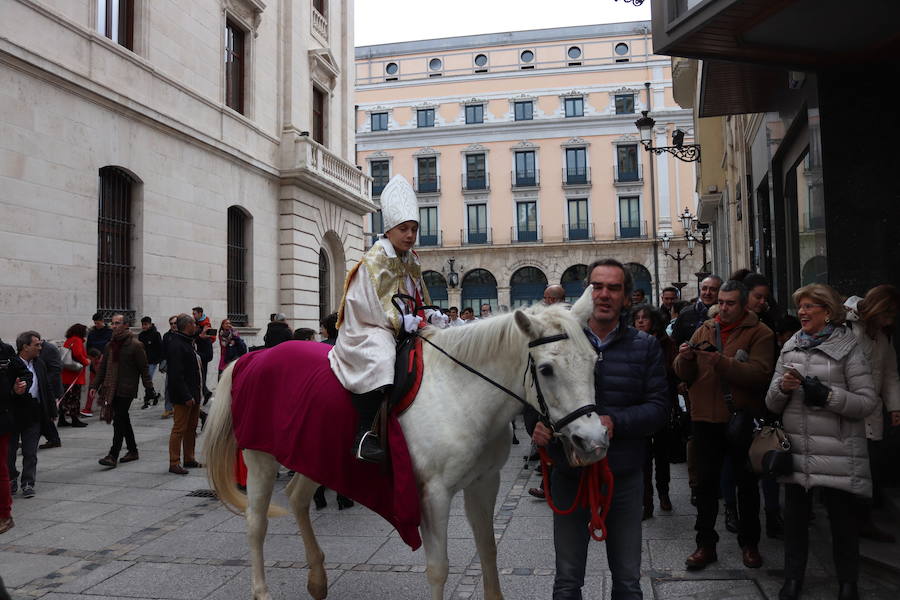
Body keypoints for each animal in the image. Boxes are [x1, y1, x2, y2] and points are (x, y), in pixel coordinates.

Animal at [205, 294, 612, 600]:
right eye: (546, 370)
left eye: (595, 361)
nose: (593, 442)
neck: (459, 391)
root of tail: (253, 356)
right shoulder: (432, 494)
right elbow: (438, 568)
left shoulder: (484, 483)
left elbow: (488, 549)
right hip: (261, 458)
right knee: (256, 523)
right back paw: (262, 590)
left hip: (312, 454)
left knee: (298, 498)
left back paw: (318, 579)